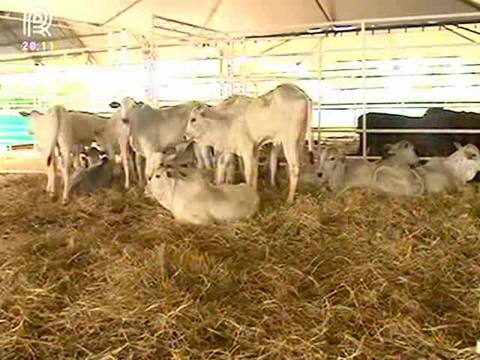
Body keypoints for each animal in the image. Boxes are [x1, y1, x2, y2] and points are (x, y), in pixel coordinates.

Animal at [184, 82, 316, 204]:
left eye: (193, 119)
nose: (185, 136)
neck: (226, 120)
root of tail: (302, 94)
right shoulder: (249, 149)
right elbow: (251, 172)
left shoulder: (246, 149)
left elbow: (248, 172)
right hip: (300, 141)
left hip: (289, 141)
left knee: (294, 167)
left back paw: (289, 199)